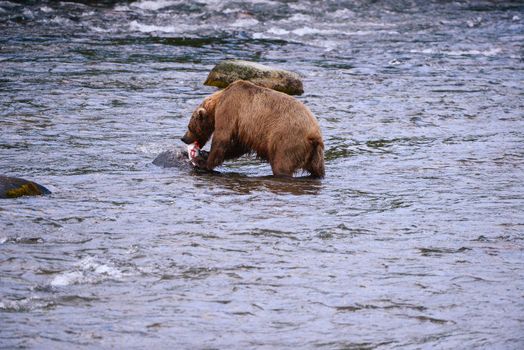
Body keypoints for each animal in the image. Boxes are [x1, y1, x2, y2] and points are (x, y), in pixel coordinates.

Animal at [182, 80, 326, 178]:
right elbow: (238, 146)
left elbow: (222, 138)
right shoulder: (244, 129)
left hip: (287, 141)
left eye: (189, 126)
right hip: (316, 154)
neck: (217, 103)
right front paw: (204, 154)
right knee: (318, 170)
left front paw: (203, 161)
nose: (183, 138)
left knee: (281, 165)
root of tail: (313, 135)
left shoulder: (230, 110)